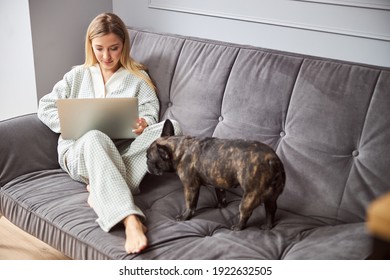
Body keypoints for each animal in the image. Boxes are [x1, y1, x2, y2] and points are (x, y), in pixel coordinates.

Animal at [146, 119, 286, 231]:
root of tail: (273, 160)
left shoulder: (190, 187)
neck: (179, 148)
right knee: (271, 209)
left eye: (149, 158)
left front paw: (185, 216)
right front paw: (221, 206)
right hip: (271, 196)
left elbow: (190, 204)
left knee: (246, 212)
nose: (146, 164)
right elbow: (221, 194)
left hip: (251, 195)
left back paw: (237, 227)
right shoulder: (219, 181)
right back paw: (267, 226)